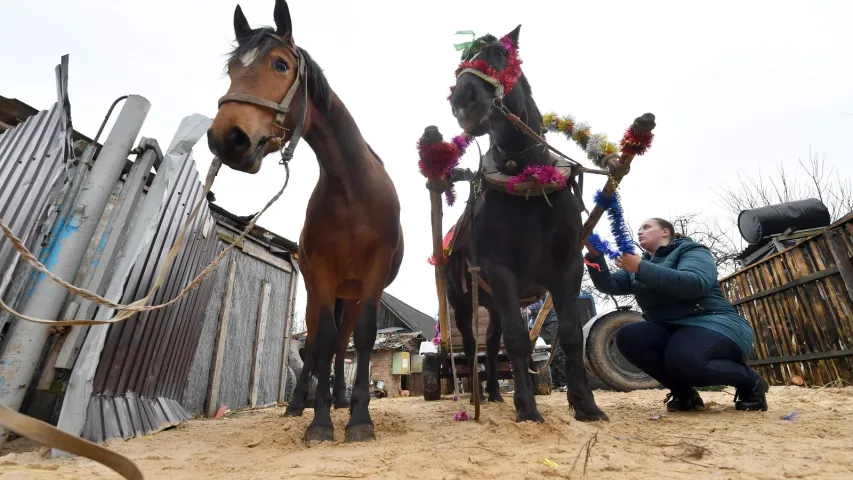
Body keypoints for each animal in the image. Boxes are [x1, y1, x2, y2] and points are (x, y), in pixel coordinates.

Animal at [208, 0, 404, 444]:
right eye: (230, 68)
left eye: (280, 64)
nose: (227, 138)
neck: (351, 190)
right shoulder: (323, 275)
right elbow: (323, 343)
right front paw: (320, 421)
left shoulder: (374, 274)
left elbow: (363, 338)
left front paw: (359, 417)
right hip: (320, 292)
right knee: (317, 343)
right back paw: (301, 403)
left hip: (350, 294)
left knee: (343, 343)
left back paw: (341, 398)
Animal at [440, 27, 604, 424]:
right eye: (461, 63)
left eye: (500, 54)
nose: (463, 99)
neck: (529, 181)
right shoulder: (499, 272)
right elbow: (516, 338)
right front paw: (528, 408)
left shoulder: (568, 268)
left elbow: (571, 334)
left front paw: (585, 404)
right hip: (463, 298)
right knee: (474, 346)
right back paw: (478, 396)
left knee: (492, 341)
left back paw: (496, 394)